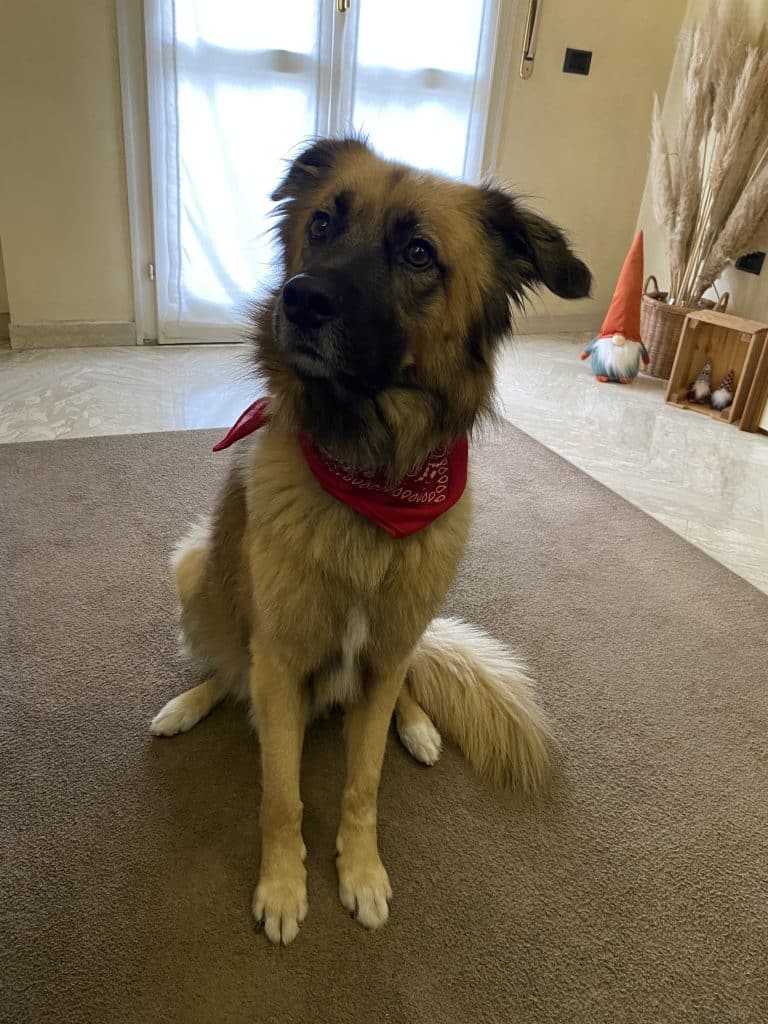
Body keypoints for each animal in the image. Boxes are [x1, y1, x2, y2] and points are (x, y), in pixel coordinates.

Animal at [150, 137, 591, 945]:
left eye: (419, 253)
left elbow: (362, 783)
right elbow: (281, 795)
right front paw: (284, 886)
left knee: (403, 688)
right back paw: (189, 704)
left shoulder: (385, 653)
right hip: (197, 567)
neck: (373, 473)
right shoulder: (279, 659)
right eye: (322, 223)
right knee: (228, 667)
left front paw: (359, 871)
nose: (301, 300)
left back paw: (416, 728)